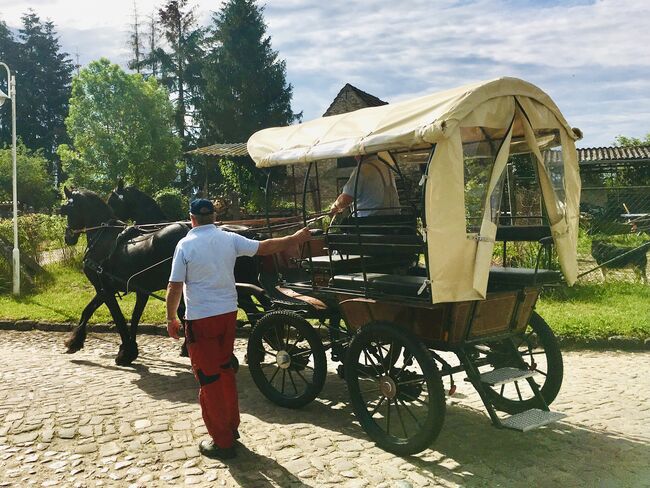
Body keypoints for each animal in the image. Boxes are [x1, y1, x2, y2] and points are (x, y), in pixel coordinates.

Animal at [61, 187, 187, 366]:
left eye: (68, 209)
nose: (68, 237)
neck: (103, 237)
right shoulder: (110, 288)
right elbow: (90, 311)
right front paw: (74, 341)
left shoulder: (106, 289)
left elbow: (119, 318)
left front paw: (125, 352)